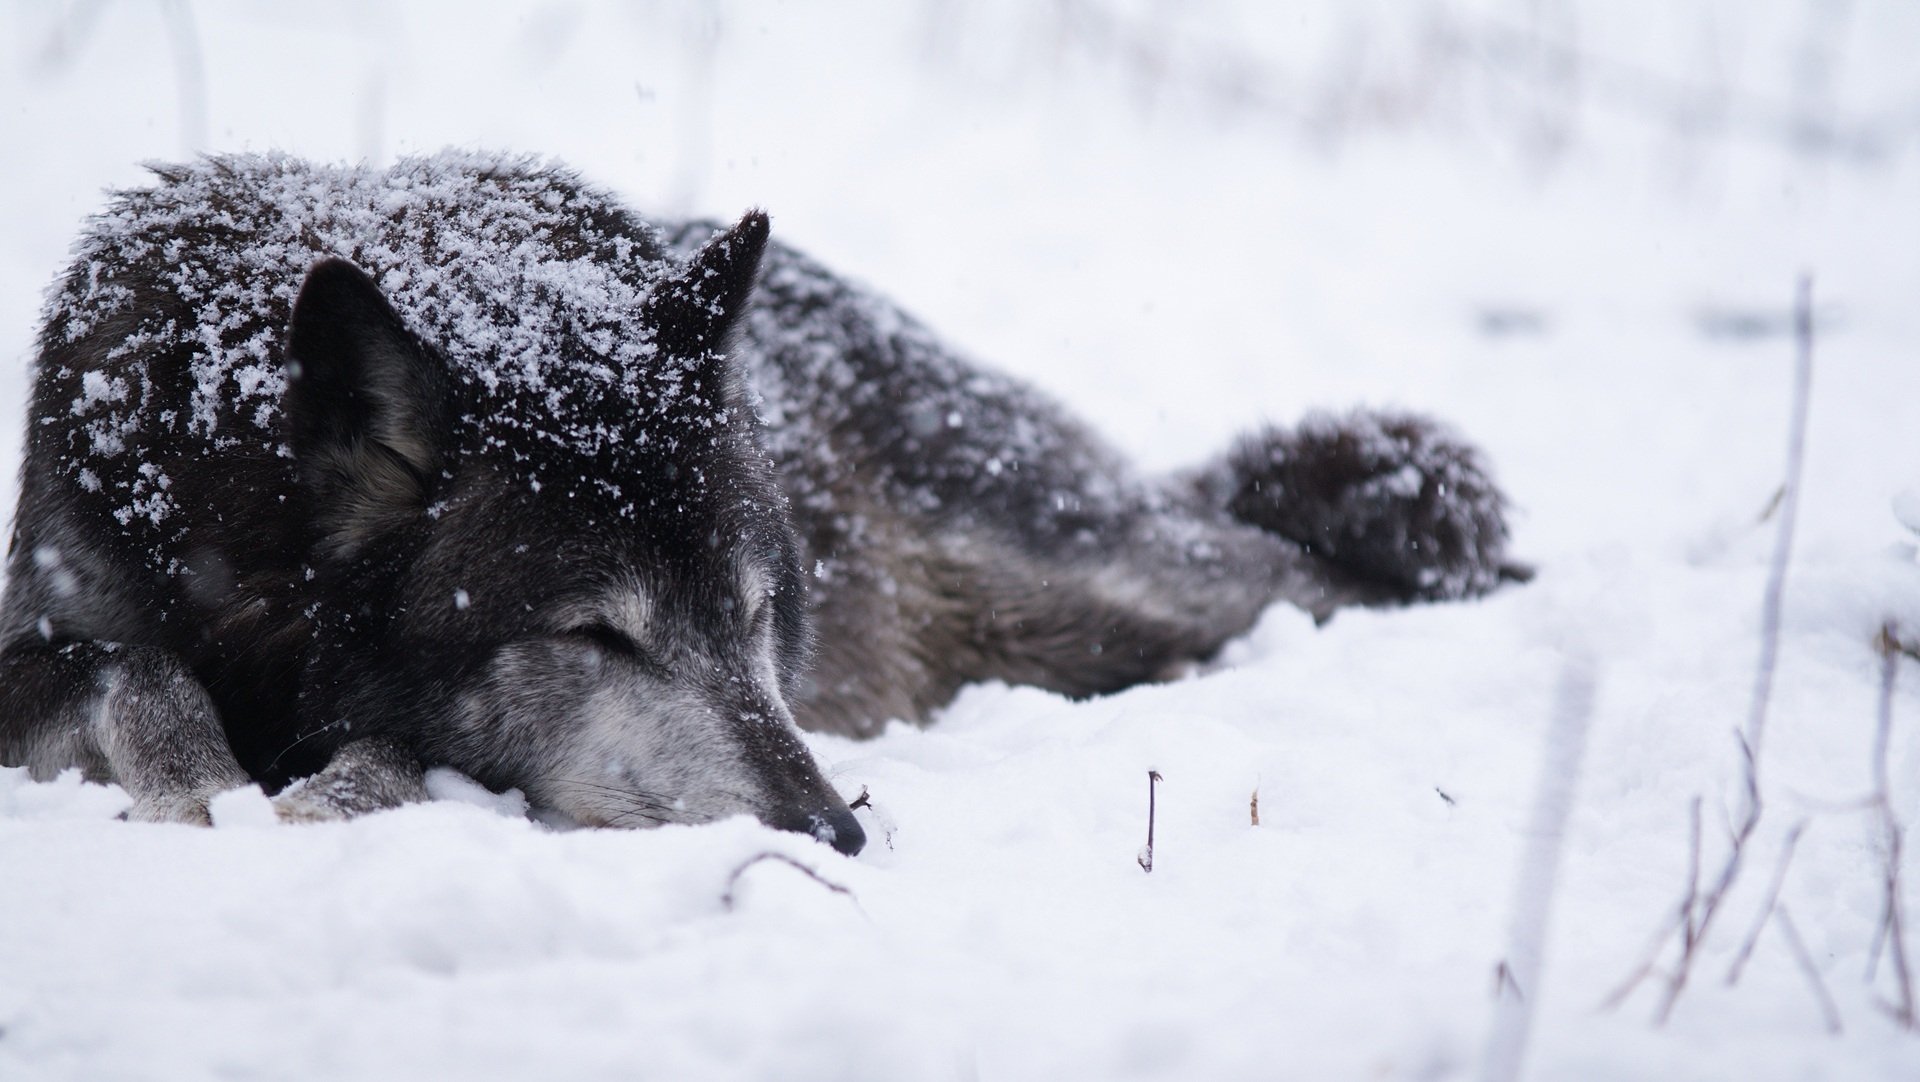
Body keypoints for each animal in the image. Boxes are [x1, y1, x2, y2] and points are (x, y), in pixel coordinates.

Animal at [0, 153, 1517, 854]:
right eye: (597, 635)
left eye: (752, 615)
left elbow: (378, 746)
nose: (837, 832)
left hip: (1102, 581)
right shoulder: (56, 613)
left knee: (1316, 575)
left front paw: (319, 792)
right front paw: (206, 780)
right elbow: (127, 662)